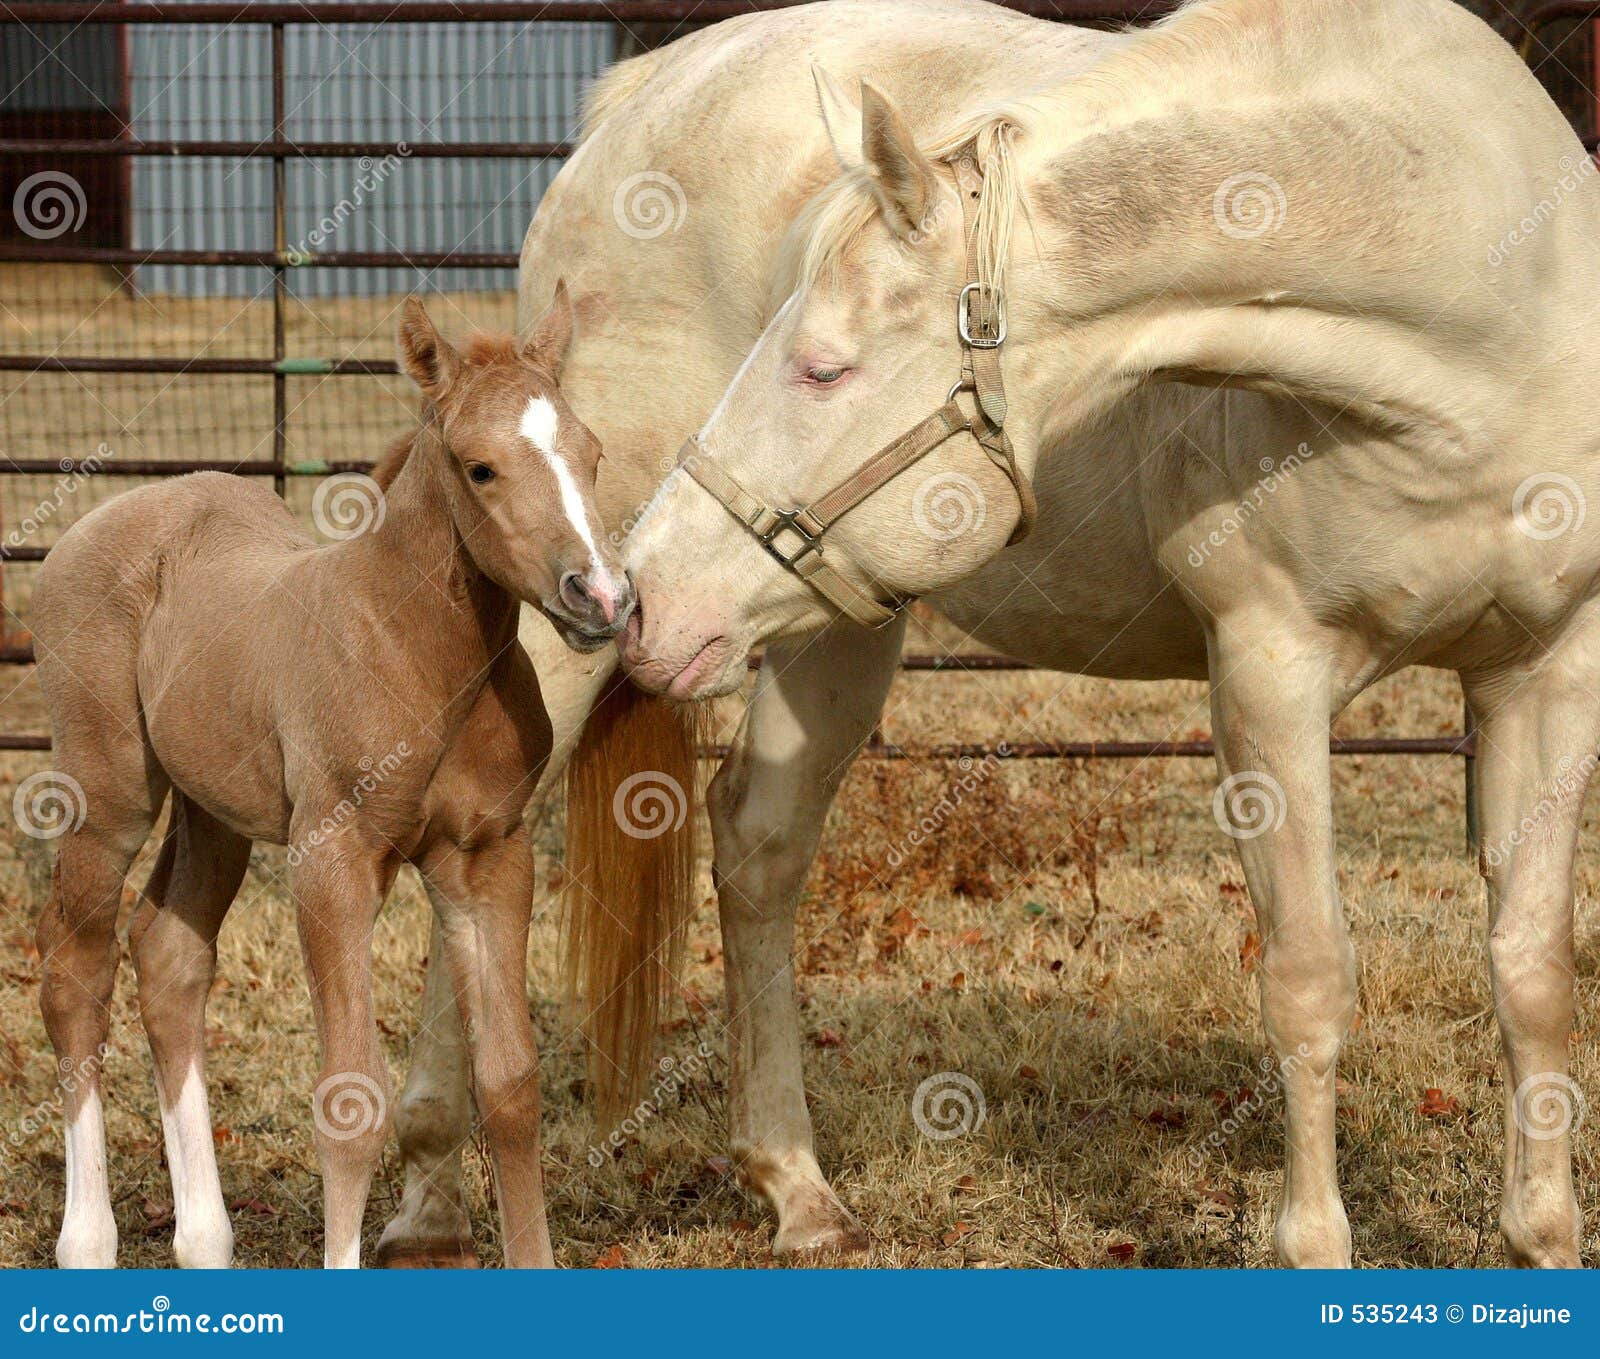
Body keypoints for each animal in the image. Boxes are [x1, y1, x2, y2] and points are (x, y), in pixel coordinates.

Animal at [31, 291, 627, 1267]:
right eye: (481, 468)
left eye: (592, 452)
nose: (603, 597)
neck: (415, 652)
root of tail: (98, 523)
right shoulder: (332, 859)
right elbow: (351, 1097)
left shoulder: (488, 860)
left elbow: (510, 1083)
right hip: (108, 795)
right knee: (75, 970)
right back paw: (88, 1240)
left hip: (214, 810)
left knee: (168, 957)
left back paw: (205, 1240)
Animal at [384, 0, 1587, 1267]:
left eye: (822, 367)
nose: (643, 598)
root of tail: (640, 98)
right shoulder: (1269, 669)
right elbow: (1307, 978)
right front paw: (1315, 1248)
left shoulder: (1547, 672)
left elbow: (1533, 972)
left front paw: (1542, 1240)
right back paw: (431, 1188)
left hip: (832, 620)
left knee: (757, 847)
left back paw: (794, 1186)